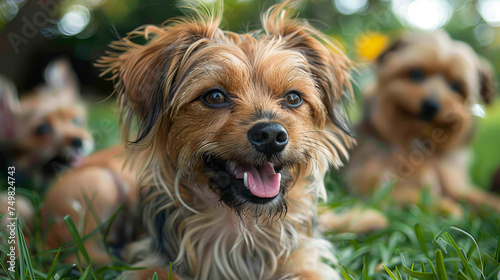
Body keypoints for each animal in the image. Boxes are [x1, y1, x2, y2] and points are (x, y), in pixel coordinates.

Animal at [42, 1, 356, 278]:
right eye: (214, 96)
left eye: (293, 98)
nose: (271, 135)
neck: (241, 225)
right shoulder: (152, 261)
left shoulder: (306, 260)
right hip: (97, 185)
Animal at [346, 31, 500, 214]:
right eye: (416, 73)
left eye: (456, 86)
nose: (431, 105)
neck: (419, 141)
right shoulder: (370, 178)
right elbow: (407, 192)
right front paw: (444, 207)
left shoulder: (454, 183)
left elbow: (477, 196)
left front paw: (493, 204)